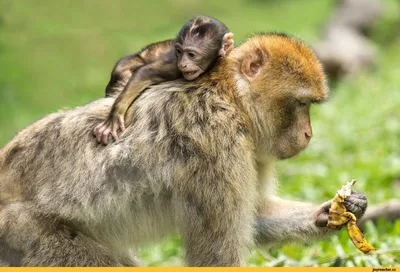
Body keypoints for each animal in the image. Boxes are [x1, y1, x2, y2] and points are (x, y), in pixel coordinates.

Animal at [0, 32, 366, 266]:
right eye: (302, 103)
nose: (308, 133)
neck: (231, 98)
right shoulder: (216, 143)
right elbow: (216, 255)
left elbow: (255, 215)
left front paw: (333, 211)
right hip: (23, 233)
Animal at [94, 15, 234, 144]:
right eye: (179, 51)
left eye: (191, 54)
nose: (183, 64)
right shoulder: (174, 65)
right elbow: (145, 73)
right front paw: (114, 116)